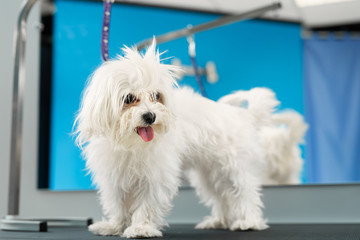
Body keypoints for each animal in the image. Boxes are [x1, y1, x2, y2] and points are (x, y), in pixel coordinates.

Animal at [75, 41, 278, 238]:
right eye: (129, 98)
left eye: (156, 95)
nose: (150, 116)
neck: (132, 144)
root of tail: (243, 115)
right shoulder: (114, 175)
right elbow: (117, 204)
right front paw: (115, 226)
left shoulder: (156, 175)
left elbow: (147, 203)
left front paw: (141, 228)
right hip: (209, 173)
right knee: (221, 196)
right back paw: (219, 221)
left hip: (233, 168)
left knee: (245, 192)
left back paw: (249, 222)